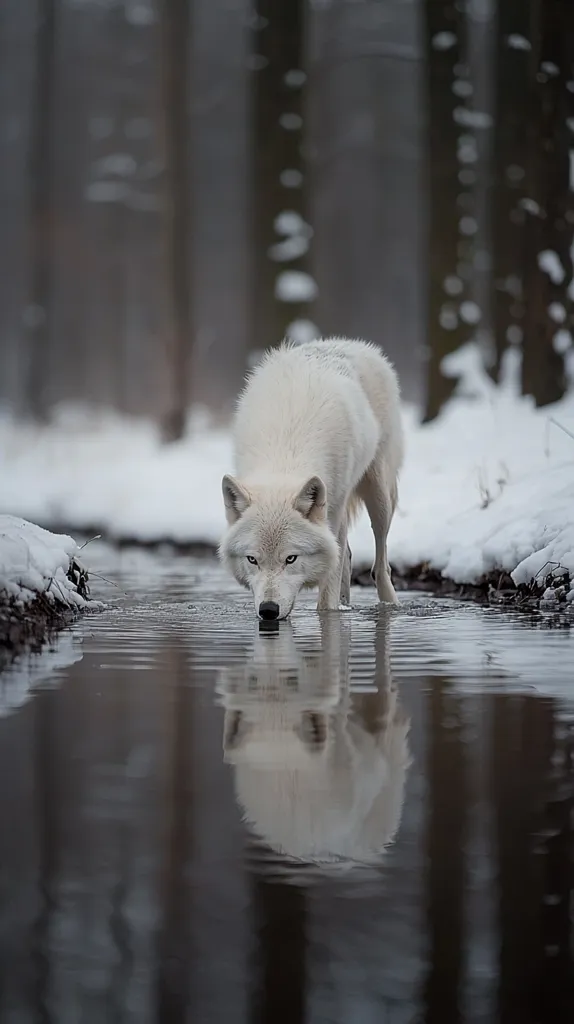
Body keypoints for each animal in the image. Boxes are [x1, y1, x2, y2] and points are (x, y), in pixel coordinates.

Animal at [218, 337, 404, 620]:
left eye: (291, 558)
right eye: (252, 560)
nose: (269, 611)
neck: (284, 453)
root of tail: (350, 343)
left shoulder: (335, 512)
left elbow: (327, 596)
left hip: (378, 496)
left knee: (381, 564)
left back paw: (391, 604)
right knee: (347, 557)